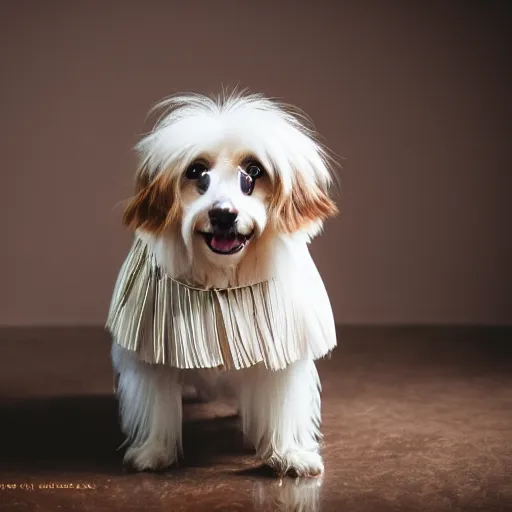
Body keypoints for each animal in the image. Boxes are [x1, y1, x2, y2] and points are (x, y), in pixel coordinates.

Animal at [110, 90, 338, 478]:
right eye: (196, 171)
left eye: (254, 172)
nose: (222, 214)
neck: (221, 279)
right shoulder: (152, 342)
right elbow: (156, 400)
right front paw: (154, 450)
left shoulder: (282, 343)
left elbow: (281, 401)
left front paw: (289, 453)